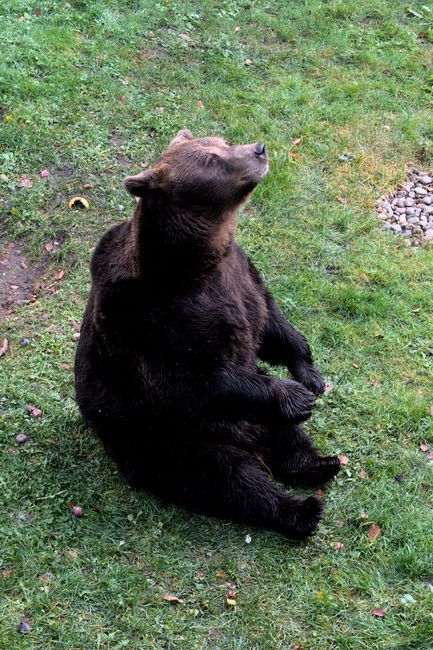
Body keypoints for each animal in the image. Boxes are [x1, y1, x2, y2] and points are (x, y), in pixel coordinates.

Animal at [74, 129, 341, 540]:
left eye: (222, 141)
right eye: (211, 160)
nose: (258, 149)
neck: (197, 262)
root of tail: (247, 438)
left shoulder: (240, 274)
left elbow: (271, 321)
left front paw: (309, 376)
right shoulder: (147, 318)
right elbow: (194, 380)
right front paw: (295, 394)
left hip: (242, 422)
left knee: (286, 437)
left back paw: (319, 463)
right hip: (168, 438)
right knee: (226, 478)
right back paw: (301, 510)